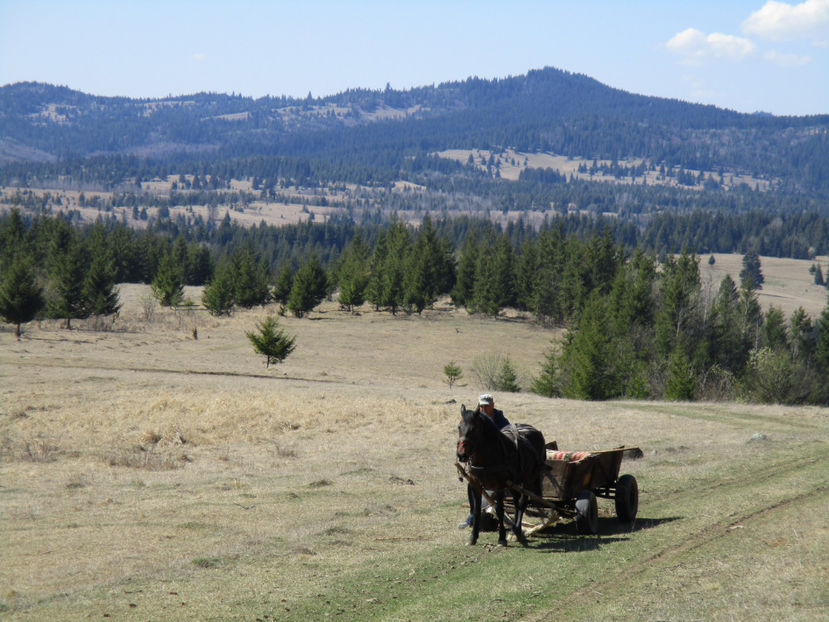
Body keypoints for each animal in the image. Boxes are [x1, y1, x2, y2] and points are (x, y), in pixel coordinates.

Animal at [456, 404, 548, 544]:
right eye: (459, 427)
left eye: (474, 429)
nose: (461, 455)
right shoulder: (475, 485)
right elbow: (476, 510)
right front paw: (473, 537)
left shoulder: (499, 486)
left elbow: (499, 510)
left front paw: (502, 538)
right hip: (514, 482)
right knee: (516, 502)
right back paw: (515, 530)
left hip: (529, 479)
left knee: (522, 503)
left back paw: (517, 531)